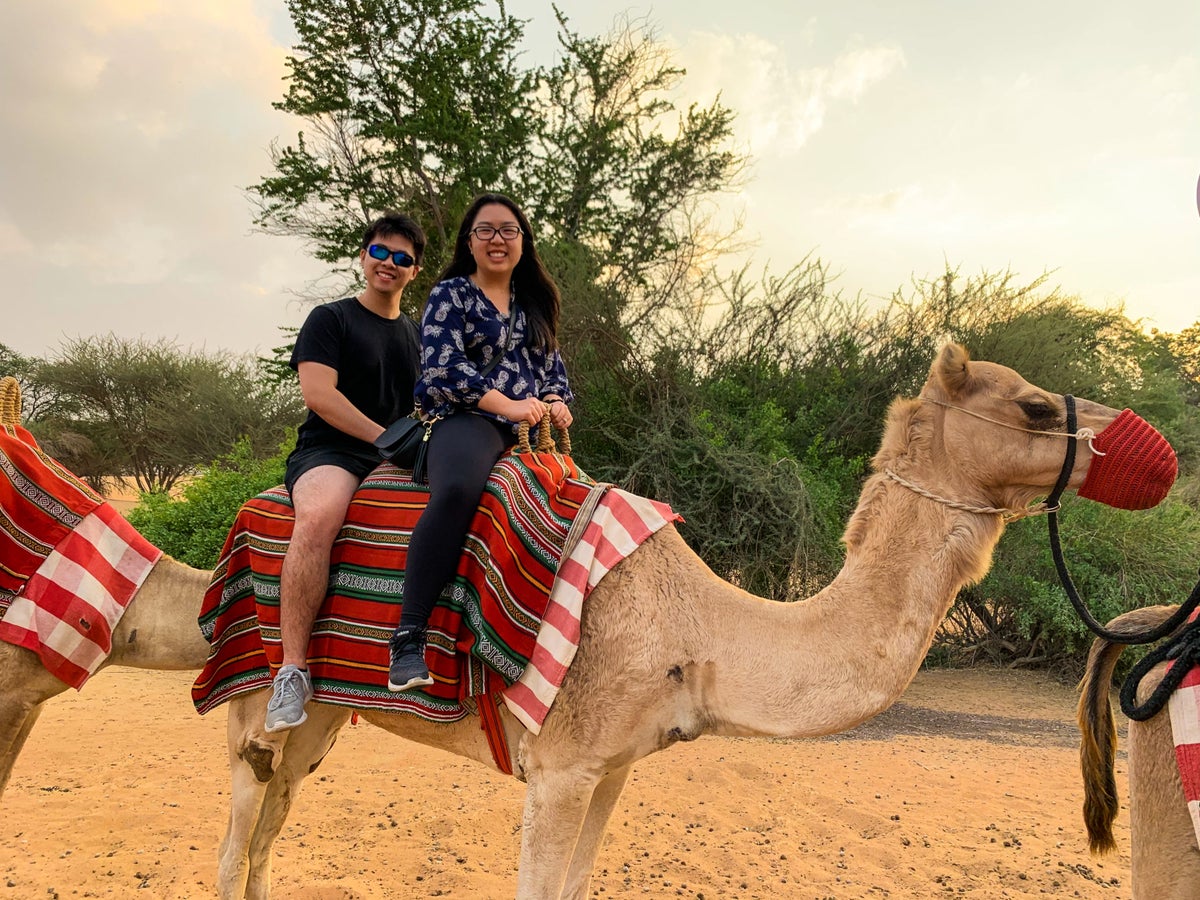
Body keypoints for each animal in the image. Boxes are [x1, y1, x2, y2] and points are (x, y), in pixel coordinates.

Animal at [0, 350, 1156, 900]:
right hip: (256, 702)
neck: (700, 633)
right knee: (237, 832)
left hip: (326, 714)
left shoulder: (615, 767)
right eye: (1035, 409)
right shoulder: (556, 768)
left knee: (274, 821)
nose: (1151, 448)